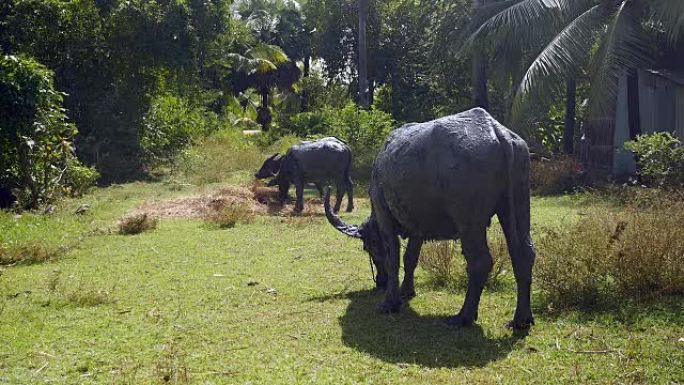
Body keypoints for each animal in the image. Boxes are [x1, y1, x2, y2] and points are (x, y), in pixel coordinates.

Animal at [324, 106, 536, 328]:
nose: (380, 282)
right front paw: (406, 290)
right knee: (524, 254)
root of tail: (497, 132)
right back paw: (521, 319)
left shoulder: (384, 218)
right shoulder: (417, 226)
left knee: (480, 262)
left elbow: (393, 258)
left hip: (469, 222)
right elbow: (410, 258)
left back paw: (463, 316)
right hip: (517, 205)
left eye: (368, 247)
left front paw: (390, 303)